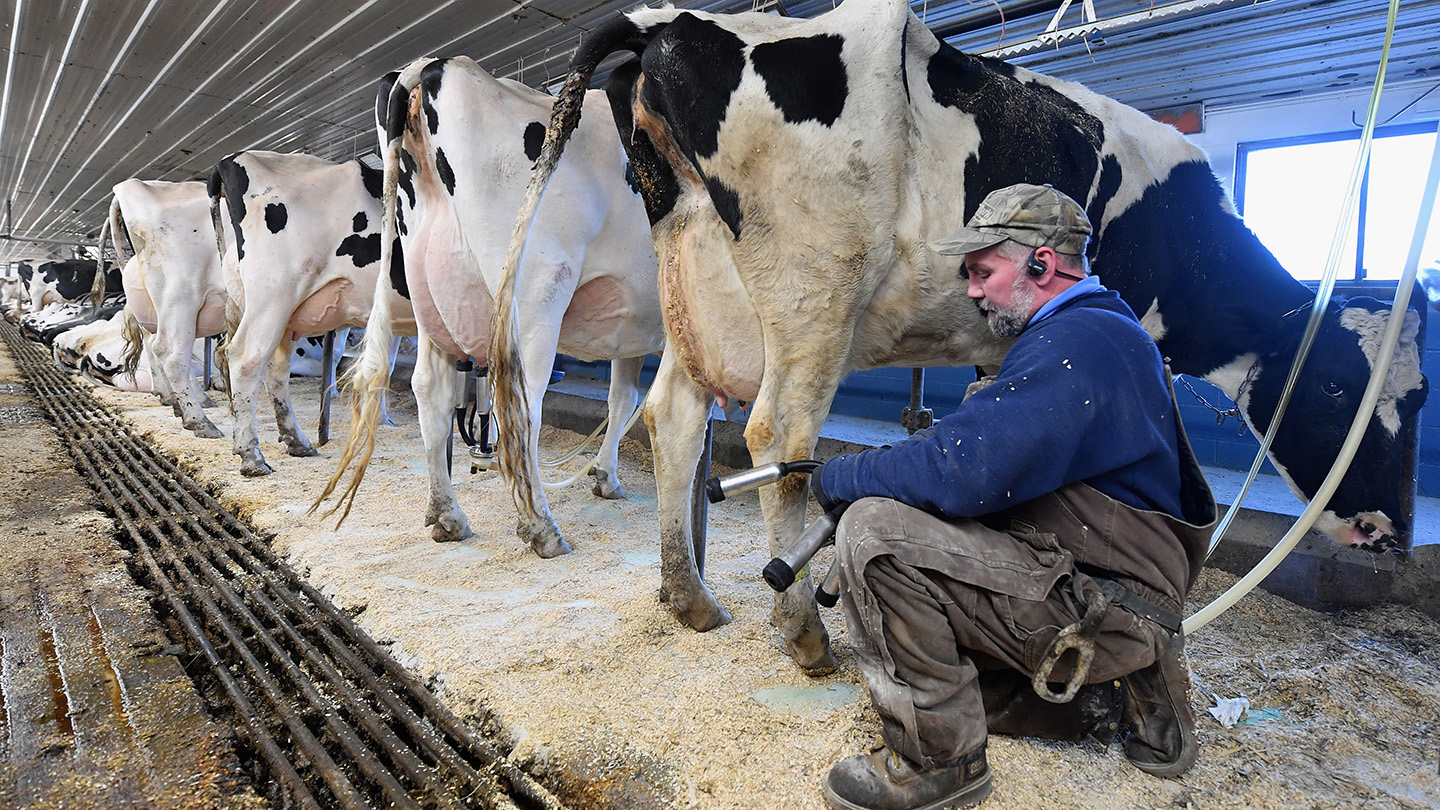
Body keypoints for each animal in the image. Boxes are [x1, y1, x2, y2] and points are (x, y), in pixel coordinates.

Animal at [208, 149, 414, 472]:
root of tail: (231, 159)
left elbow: (385, 366)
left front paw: (382, 420)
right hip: (274, 295)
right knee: (245, 358)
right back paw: (252, 457)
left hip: (281, 314)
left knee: (275, 368)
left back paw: (297, 441)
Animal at [318, 53, 659, 550]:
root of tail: (433, 65)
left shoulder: (630, 329)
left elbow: (622, 397)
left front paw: (606, 476)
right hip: (534, 295)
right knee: (521, 400)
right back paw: (541, 527)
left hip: (431, 299)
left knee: (430, 391)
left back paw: (447, 515)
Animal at [501, 0, 1422, 665]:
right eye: (1338, 383)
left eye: (1419, 397)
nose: (1392, 534)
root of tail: (669, 23)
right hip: (815, 290)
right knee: (776, 435)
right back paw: (804, 635)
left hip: (699, 294)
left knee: (673, 417)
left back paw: (689, 599)